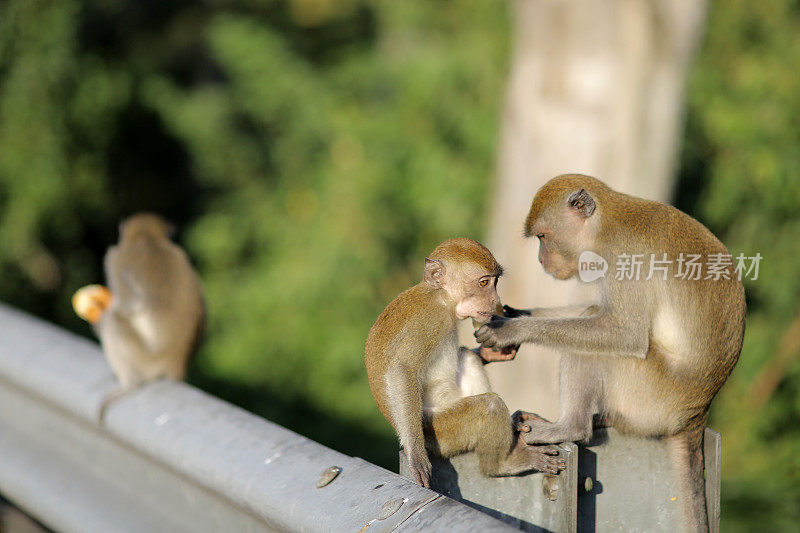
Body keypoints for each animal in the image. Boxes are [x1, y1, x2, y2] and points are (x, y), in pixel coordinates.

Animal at [79, 212, 205, 416]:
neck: (148, 239)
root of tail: (175, 364)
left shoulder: (116, 260)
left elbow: (126, 305)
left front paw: (98, 319)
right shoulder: (180, 255)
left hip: (145, 361)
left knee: (112, 322)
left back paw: (130, 386)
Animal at [364, 239, 564, 488]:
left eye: (495, 282)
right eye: (484, 282)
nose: (495, 300)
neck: (443, 298)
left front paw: (492, 351)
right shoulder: (428, 321)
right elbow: (402, 370)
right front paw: (415, 454)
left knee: (467, 357)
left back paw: (514, 422)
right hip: (443, 432)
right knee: (489, 406)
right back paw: (500, 464)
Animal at [476, 172, 744, 528]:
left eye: (543, 237)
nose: (541, 259)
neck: (607, 223)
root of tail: (695, 415)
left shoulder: (625, 257)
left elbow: (624, 333)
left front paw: (512, 330)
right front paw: (517, 315)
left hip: (652, 394)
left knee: (592, 349)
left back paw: (570, 426)